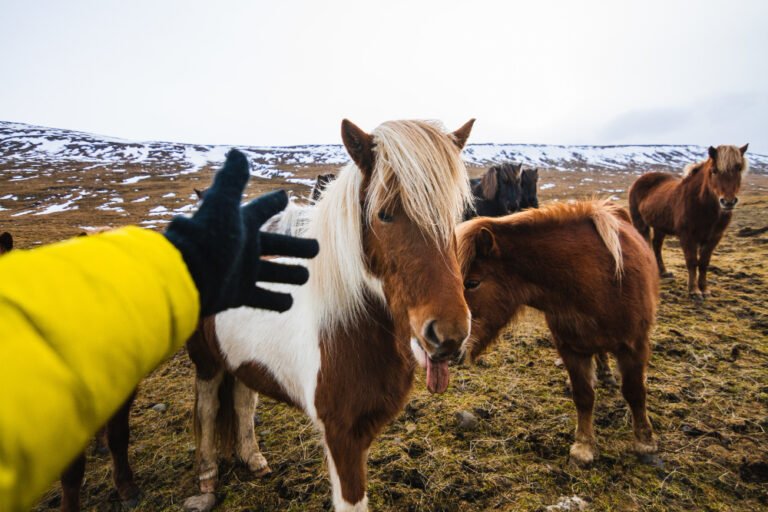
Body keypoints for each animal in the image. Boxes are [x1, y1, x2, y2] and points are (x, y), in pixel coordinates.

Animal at [185, 118, 475, 511]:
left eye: (456, 215)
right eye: (384, 214)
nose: (448, 335)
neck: (344, 329)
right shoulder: (341, 438)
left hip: (241, 361)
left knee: (243, 401)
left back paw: (253, 459)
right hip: (207, 362)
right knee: (207, 409)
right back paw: (207, 475)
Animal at [452, 200, 659, 465]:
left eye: (472, 283)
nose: (447, 349)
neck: (596, 281)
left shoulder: (634, 346)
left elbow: (635, 392)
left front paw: (644, 441)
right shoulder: (571, 348)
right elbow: (583, 396)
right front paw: (584, 446)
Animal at [628, 144, 749, 299]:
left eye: (738, 168)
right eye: (714, 171)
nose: (728, 202)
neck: (702, 204)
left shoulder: (714, 238)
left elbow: (704, 263)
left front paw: (705, 289)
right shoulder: (687, 236)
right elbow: (691, 262)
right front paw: (694, 291)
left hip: (660, 226)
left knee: (657, 245)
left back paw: (663, 272)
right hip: (640, 224)